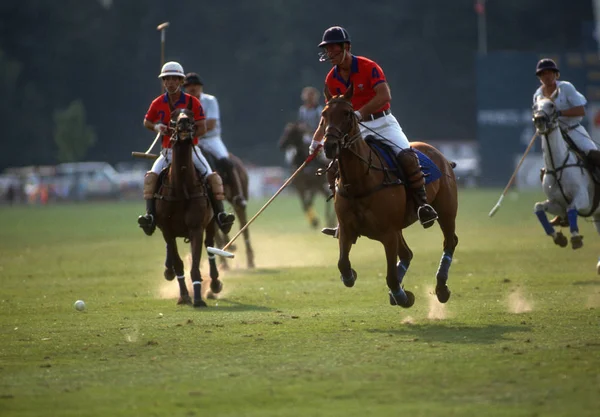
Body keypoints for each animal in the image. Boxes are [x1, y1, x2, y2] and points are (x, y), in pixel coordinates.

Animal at [157, 109, 225, 308]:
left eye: (190, 114)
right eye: (173, 118)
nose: (184, 123)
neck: (181, 189)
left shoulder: (196, 228)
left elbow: (195, 265)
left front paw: (198, 298)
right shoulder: (167, 230)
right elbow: (178, 263)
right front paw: (184, 296)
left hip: (211, 223)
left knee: (210, 248)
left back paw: (215, 284)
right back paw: (169, 271)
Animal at [324, 86, 460, 308]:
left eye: (347, 113)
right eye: (324, 115)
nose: (329, 145)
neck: (361, 180)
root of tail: (440, 155)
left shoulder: (388, 233)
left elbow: (390, 277)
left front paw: (402, 296)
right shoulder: (346, 229)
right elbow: (343, 264)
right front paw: (352, 274)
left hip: (446, 210)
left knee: (450, 241)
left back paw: (441, 288)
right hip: (399, 226)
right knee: (407, 253)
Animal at [532, 91, 596, 272]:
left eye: (552, 105)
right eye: (534, 106)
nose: (539, 119)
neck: (557, 164)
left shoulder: (584, 199)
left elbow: (572, 208)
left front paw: (575, 238)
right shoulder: (557, 204)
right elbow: (538, 207)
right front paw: (557, 237)